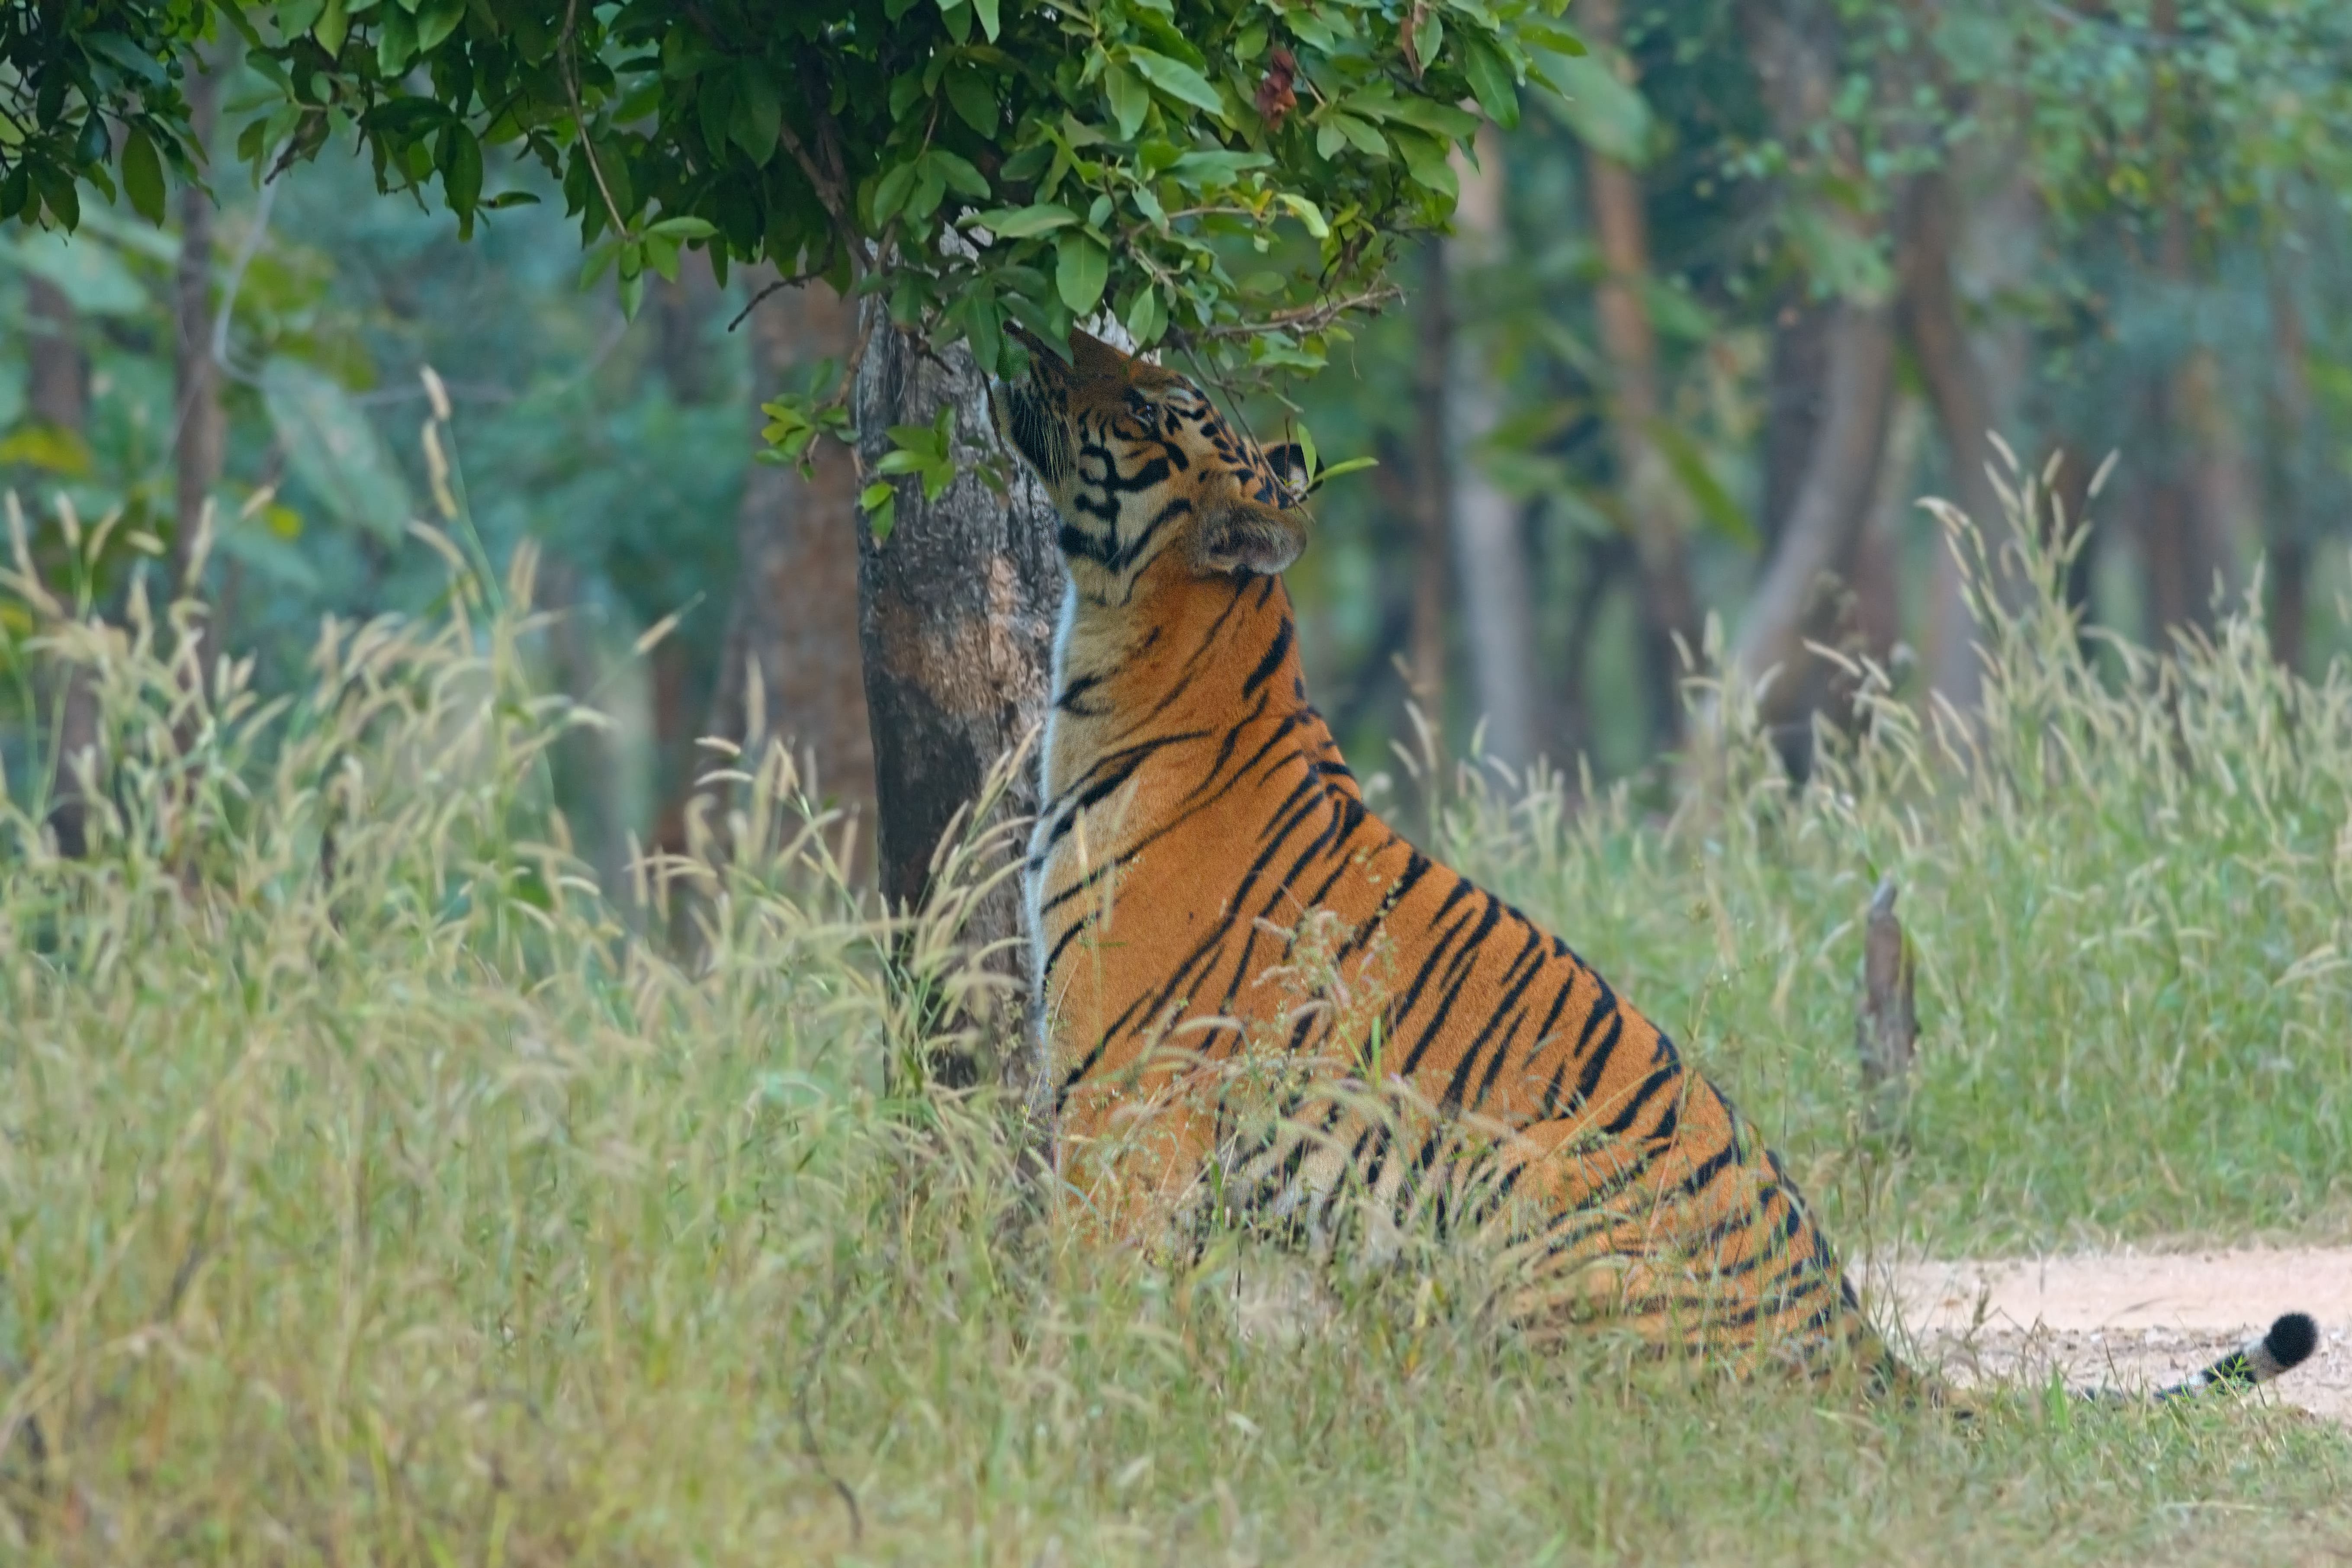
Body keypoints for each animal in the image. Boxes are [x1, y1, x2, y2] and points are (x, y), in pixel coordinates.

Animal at [990, 322, 2316, 1398]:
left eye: (1149, 401)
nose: (1035, 332)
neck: (1135, 663)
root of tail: (1854, 1337)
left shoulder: (1123, 1100)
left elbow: (1082, 1279)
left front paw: (1052, 1389)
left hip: (1513, 1206)